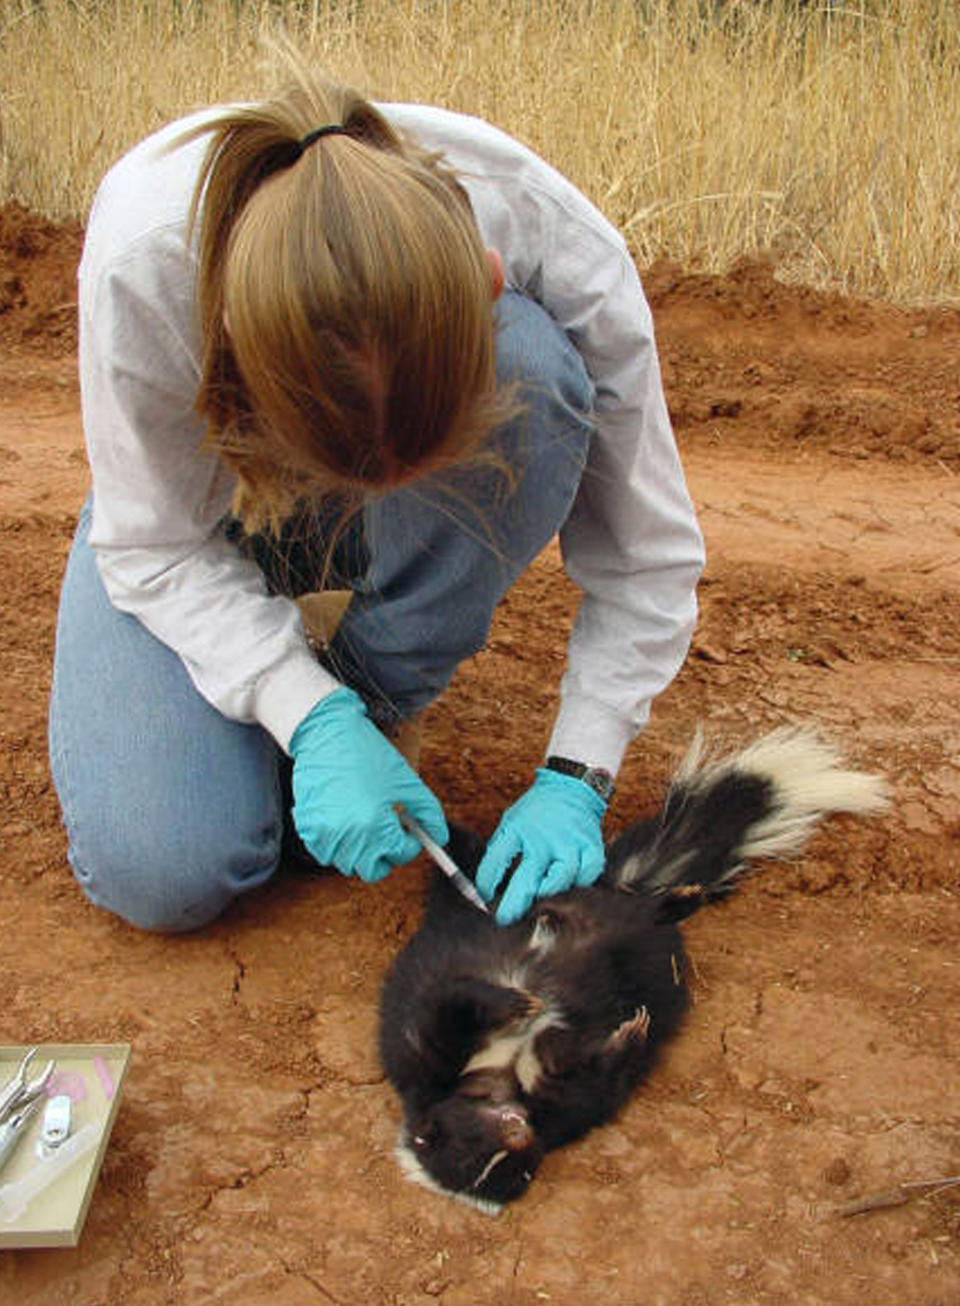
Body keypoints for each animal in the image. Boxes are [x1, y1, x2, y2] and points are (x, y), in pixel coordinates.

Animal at [378, 731, 888, 1206]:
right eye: (497, 1164)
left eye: (466, 1136)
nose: (520, 1132)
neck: (497, 1077)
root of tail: (625, 889)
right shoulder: (549, 1098)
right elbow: (583, 1080)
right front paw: (627, 1035)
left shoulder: (427, 1057)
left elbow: (448, 1008)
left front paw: (516, 1002)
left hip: (529, 887)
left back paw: (680, 897)